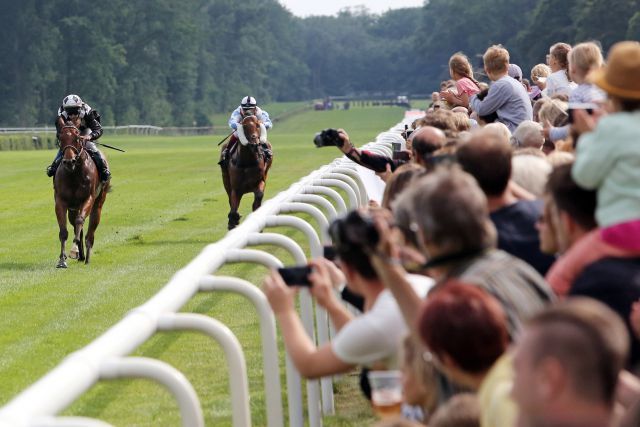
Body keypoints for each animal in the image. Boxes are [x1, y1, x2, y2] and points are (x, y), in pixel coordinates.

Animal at [53, 117, 109, 268]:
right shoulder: (61, 201)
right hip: (73, 208)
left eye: (77, 138)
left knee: (90, 229)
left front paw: (73, 250)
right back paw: (81, 254)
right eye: (61, 138)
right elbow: (63, 231)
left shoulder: (88, 198)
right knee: (76, 225)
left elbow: (80, 221)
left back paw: (87, 256)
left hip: (98, 203)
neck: (74, 174)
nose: (69, 161)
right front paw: (62, 260)